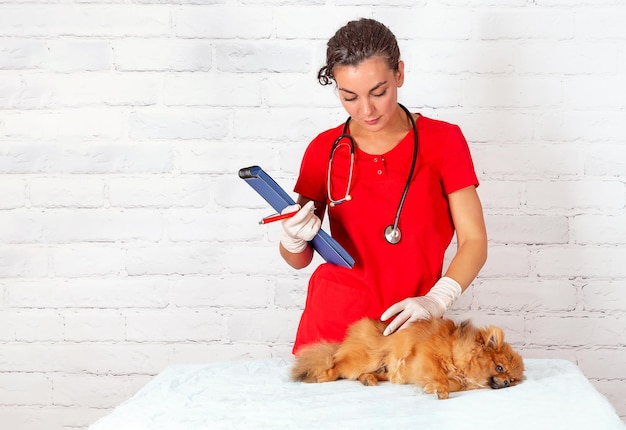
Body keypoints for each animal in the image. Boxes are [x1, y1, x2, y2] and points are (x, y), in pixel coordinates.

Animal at [292, 316, 520, 400]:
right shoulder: (427, 355)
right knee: (337, 365)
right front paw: (441, 388)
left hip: (386, 370)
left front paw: (436, 387)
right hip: (365, 359)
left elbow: (452, 382)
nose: (507, 383)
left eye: (513, 379)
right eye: (500, 368)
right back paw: (325, 375)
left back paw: (369, 379)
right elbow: (439, 373)